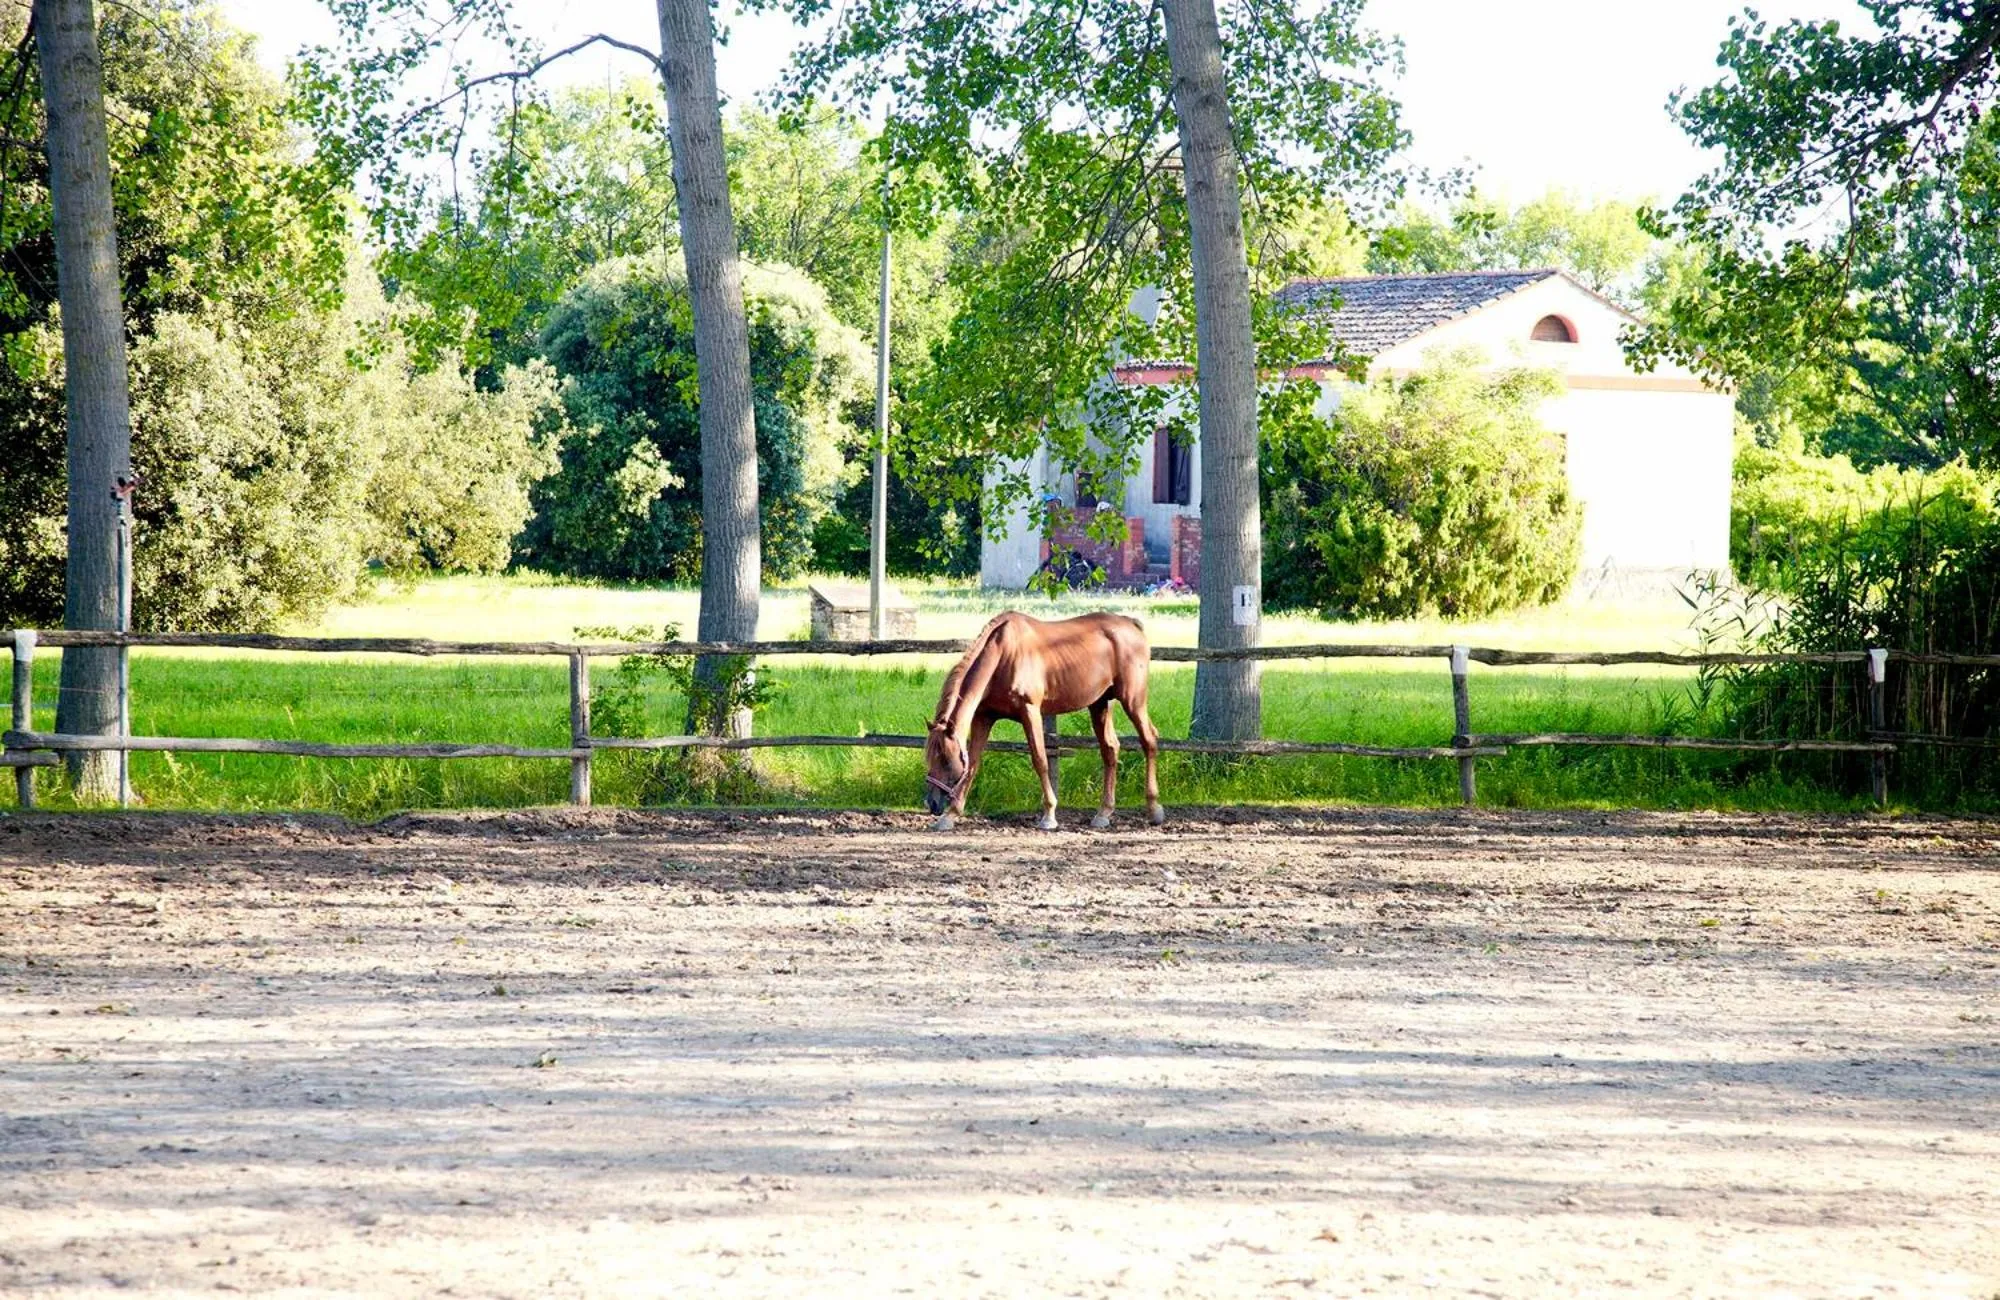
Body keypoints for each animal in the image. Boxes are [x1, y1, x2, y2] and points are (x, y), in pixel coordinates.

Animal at [924, 611, 1164, 831]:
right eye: (929, 757)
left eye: (946, 759)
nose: (931, 803)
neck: (1003, 655)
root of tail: (1132, 624)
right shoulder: (984, 716)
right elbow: (972, 764)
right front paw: (950, 815)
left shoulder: (1030, 711)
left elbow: (1040, 760)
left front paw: (1049, 815)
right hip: (1100, 704)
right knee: (1110, 749)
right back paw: (1103, 813)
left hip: (1133, 700)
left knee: (1149, 740)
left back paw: (1154, 809)